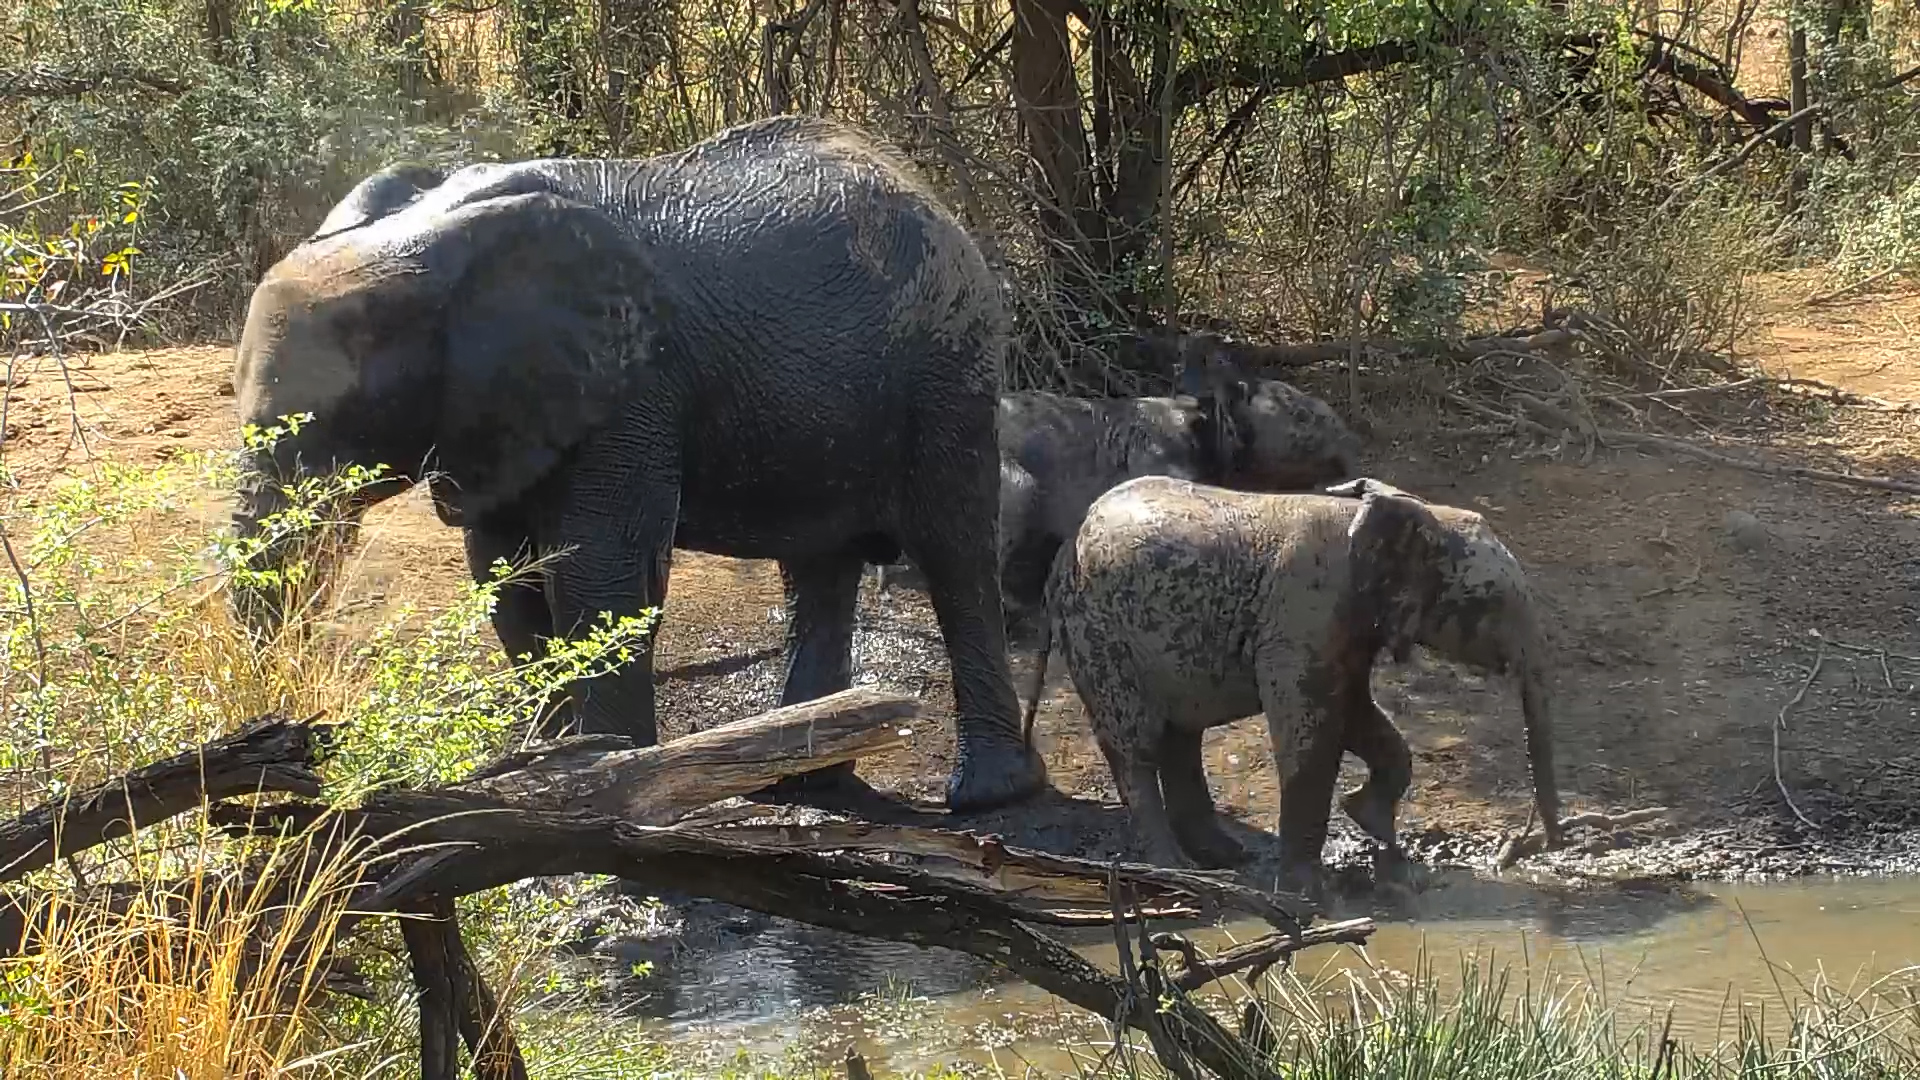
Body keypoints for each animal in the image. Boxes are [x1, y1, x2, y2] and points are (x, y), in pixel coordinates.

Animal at [225, 114, 1047, 813]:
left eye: (331, 426)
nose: (290, 731)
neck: (433, 237)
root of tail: (932, 195)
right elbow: (506, 576)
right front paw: (542, 778)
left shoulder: (635, 383)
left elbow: (598, 572)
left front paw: (605, 789)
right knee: (818, 567)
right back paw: (800, 783)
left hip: (948, 372)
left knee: (954, 552)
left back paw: (985, 796)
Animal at [1022, 474, 1562, 879]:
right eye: (1489, 601)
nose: (1534, 844)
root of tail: (1064, 550)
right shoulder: (1302, 615)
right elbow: (1313, 731)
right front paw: (1308, 895)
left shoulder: (1344, 627)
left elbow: (1358, 716)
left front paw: (1372, 824)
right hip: (1099, 635)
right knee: (1136, 745)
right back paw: (1177, 869)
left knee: (1180, 738)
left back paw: (1224, 857)